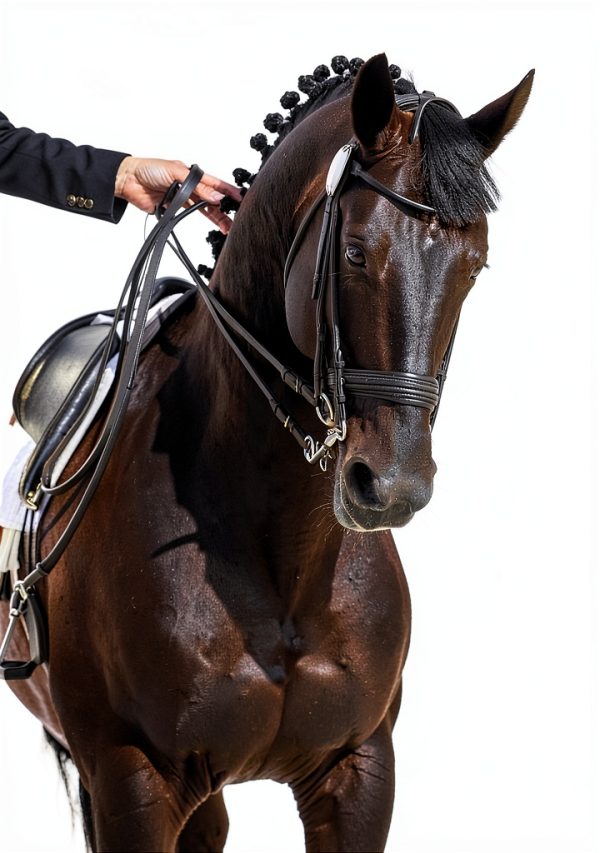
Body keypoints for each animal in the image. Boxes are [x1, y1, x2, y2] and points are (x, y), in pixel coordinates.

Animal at [1, 53, 532, 851]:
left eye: (475, 265)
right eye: (355, 251)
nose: (393, 487)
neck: (282, 550)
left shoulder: (358, 771)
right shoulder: (131, 780)